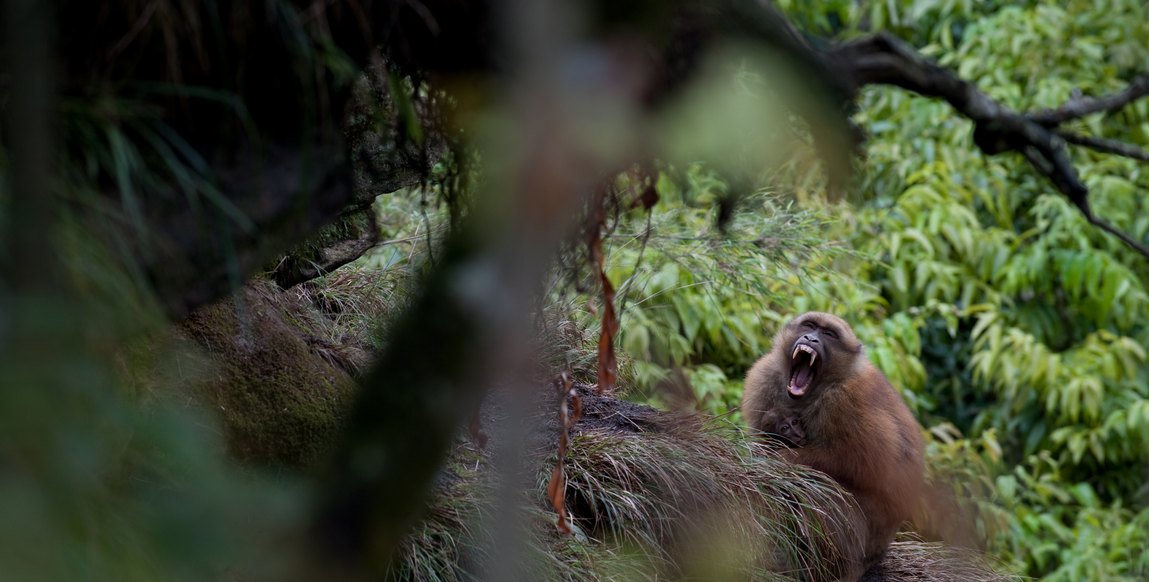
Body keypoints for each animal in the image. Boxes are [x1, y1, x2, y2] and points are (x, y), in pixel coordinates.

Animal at [739, 312, 928, 580]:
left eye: (829, 334)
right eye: (809, 326)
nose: (811, 339)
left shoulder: (847, 401)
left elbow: (864, 466)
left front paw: (777, 460)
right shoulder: (764, 378)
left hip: (859, 546)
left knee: (819, 491)